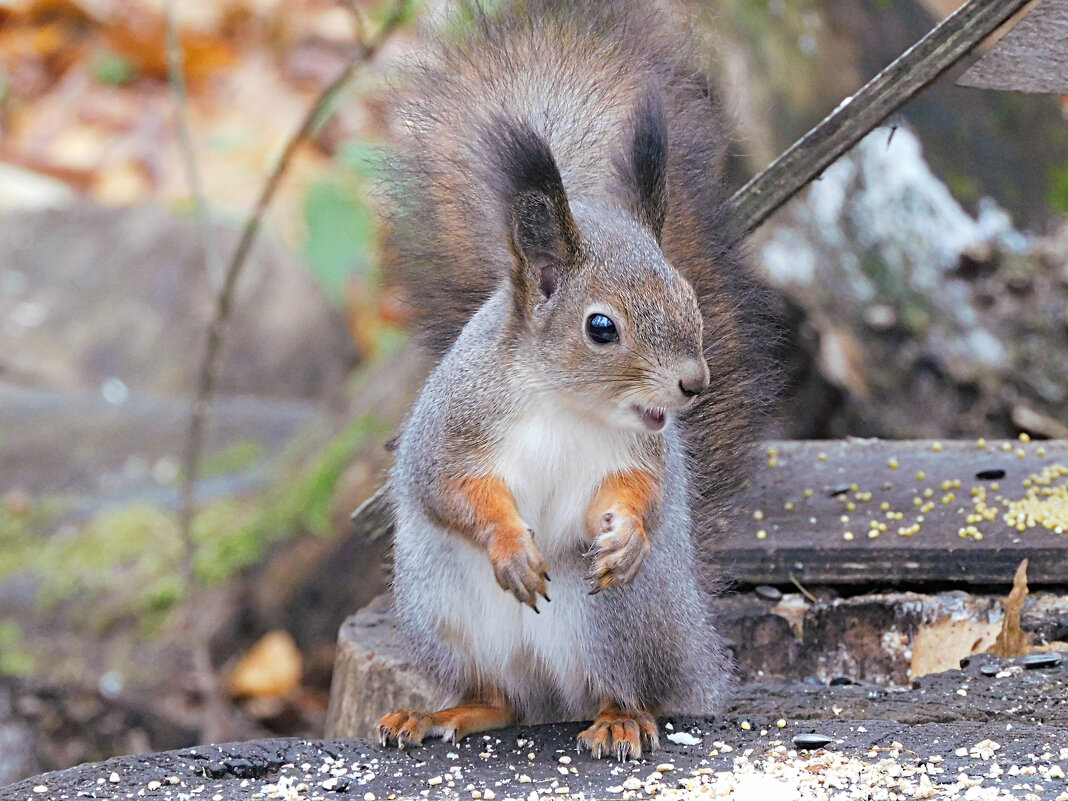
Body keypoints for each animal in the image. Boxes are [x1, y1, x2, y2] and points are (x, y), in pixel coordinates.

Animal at [378, 0, 777, 764]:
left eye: (688, 295)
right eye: (601, 327)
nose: (694, 383)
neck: (565, 402)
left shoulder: (642, 451)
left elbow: (641, 493)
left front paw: (626, 534)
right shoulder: (455, 422)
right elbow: (447, 487)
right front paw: (510, 543)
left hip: (616, 620)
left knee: (624, 688)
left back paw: (619, 717)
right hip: (444, 614)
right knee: (499, 697)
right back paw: (438, 712)